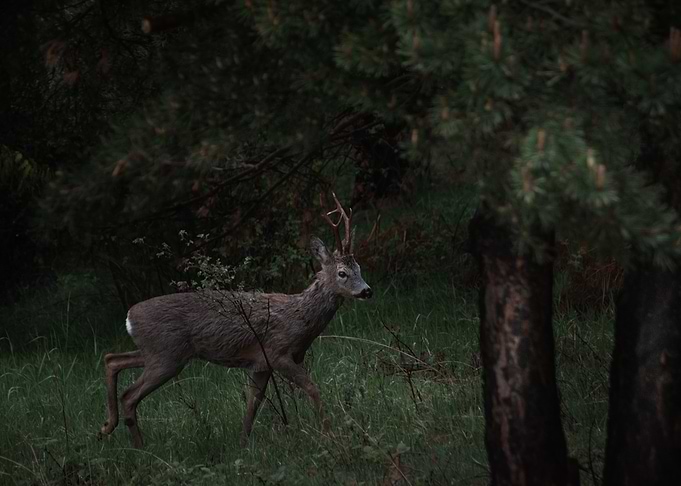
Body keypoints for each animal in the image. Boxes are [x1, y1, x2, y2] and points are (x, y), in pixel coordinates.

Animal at [99, 193, 372, 448]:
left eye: (359, 268)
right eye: (342, 273)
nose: (367, 291)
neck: (300, 318)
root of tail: (129, 316)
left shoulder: (261, 365)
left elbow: (252, 405)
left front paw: (242, 444)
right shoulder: (277, 353)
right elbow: (312, 388)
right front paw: (330, 435)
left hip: (157, 352)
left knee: (112, 360)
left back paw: (108, 427)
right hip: (167, 356)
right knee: (129, 395)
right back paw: (138, 446)